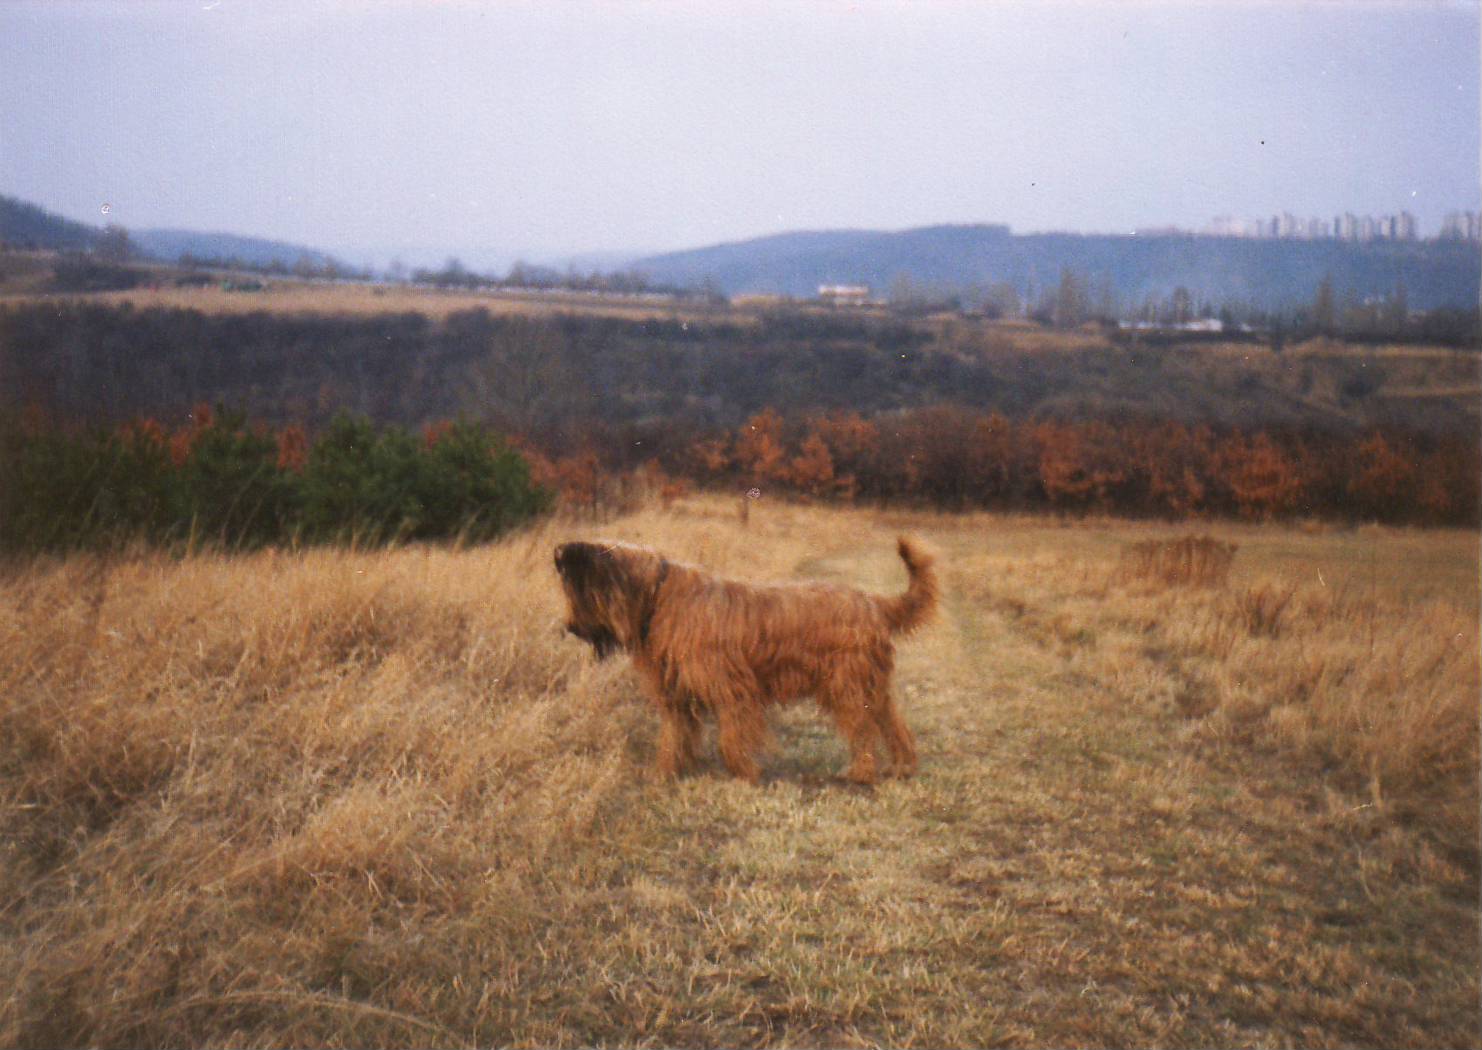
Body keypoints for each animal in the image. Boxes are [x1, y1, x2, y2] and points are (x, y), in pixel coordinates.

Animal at [557, 536, 936, 781]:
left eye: (580, 592)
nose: (570, 627)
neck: (659, 597)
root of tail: (873, 602)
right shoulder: (677, 691)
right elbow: (675, 733)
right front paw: (667, 770)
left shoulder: (732, 688)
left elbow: (731, 735)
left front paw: (745, 772)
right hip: (872, 685)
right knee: (892, 723)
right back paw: (902, 767)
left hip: (847, 686)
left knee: (862, 728)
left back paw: (861, 772)